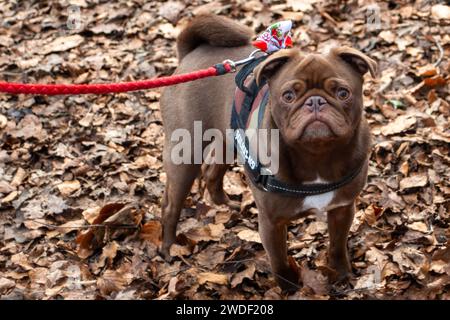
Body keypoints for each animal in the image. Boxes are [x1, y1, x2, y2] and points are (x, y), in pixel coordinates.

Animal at [159, 13, 376, 292]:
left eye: (343, 93)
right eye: (288, 95)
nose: (315, 101)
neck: (317, 154)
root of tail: (190, 54)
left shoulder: (342, 209)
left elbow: (338, 246)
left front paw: (341, 274)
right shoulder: (272, 223)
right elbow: (280, 261)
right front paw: (290, 288)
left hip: (229, 137)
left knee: (212, 171)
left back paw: (225, 205)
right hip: (186, 153)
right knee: (171, 205)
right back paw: (169, 247)